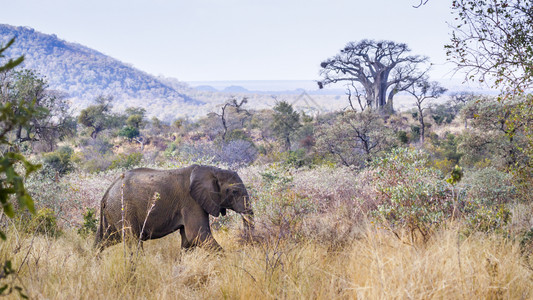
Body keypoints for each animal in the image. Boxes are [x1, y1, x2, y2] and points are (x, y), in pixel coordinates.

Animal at [93, 164, 254, 251]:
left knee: (104, 241)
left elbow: (188, 239)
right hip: (124, 209)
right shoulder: (191, 202)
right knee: (132, 240)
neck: (211, 170)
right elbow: (197, 234)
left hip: (112, 212)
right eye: (234, 192)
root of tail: (107, 192)